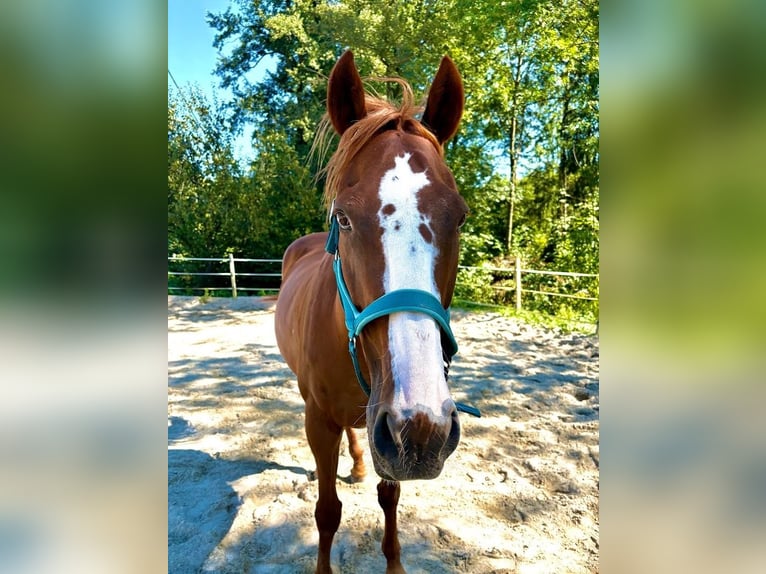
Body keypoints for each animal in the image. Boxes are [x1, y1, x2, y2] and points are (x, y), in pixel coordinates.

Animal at [275, 50, 470, 574]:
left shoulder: (393, 432)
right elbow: (326, 511)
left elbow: (390, 498)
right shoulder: (319, 422)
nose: (424, 428)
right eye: (343, 217)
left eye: (460, 217)